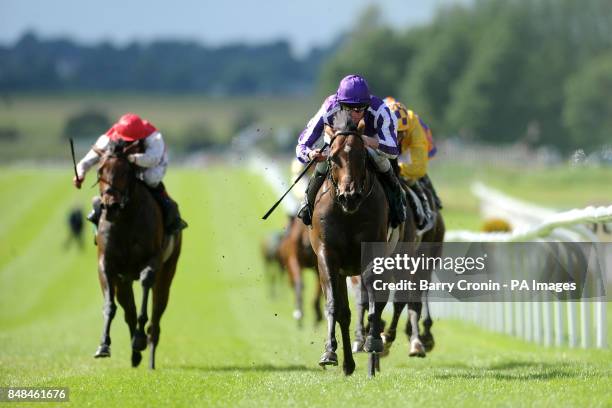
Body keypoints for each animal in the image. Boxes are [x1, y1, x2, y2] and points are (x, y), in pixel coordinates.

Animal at [91, 140, 182, 370]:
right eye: (100, 171)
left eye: (126, 172)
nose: (111, 206)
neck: (125, 220)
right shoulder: (107, 265)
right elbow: (111, 306)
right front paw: (103, 345)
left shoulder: (153, 260)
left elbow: (145, 287)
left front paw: (140, 339)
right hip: (123, 281)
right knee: (128, 311)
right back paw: (135, 355)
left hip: (167, 273)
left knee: (156, 315)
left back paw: (147, 353)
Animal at [308, 109, 400, 376]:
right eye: (333, 157)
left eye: (362, 155)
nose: (349, 196)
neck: (348, 213)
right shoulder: (327, 256)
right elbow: (335, 307)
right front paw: (329, 352)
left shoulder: (372, 252)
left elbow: (373, 299)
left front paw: (373, 341)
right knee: (346, 313)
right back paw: (348, 363)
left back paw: (372, 355)